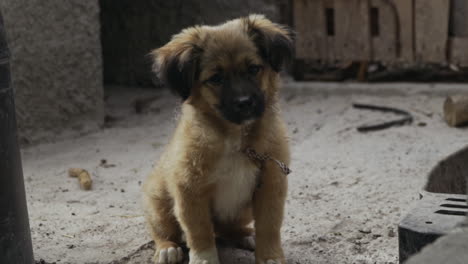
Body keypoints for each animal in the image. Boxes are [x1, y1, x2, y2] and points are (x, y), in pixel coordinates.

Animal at [144, 14, 292, 264]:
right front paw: (204, 258)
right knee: (162, 229)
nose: (245, 103)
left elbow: (269, 226)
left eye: (254, 69)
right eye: (216, 78)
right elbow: (199, 232)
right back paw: (167, 248)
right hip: (158, 200)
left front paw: (270, 256)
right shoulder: (189, 191)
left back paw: (245, 235)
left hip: (242, 211)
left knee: (227, 230)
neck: (236, 140)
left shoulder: (271, 184)